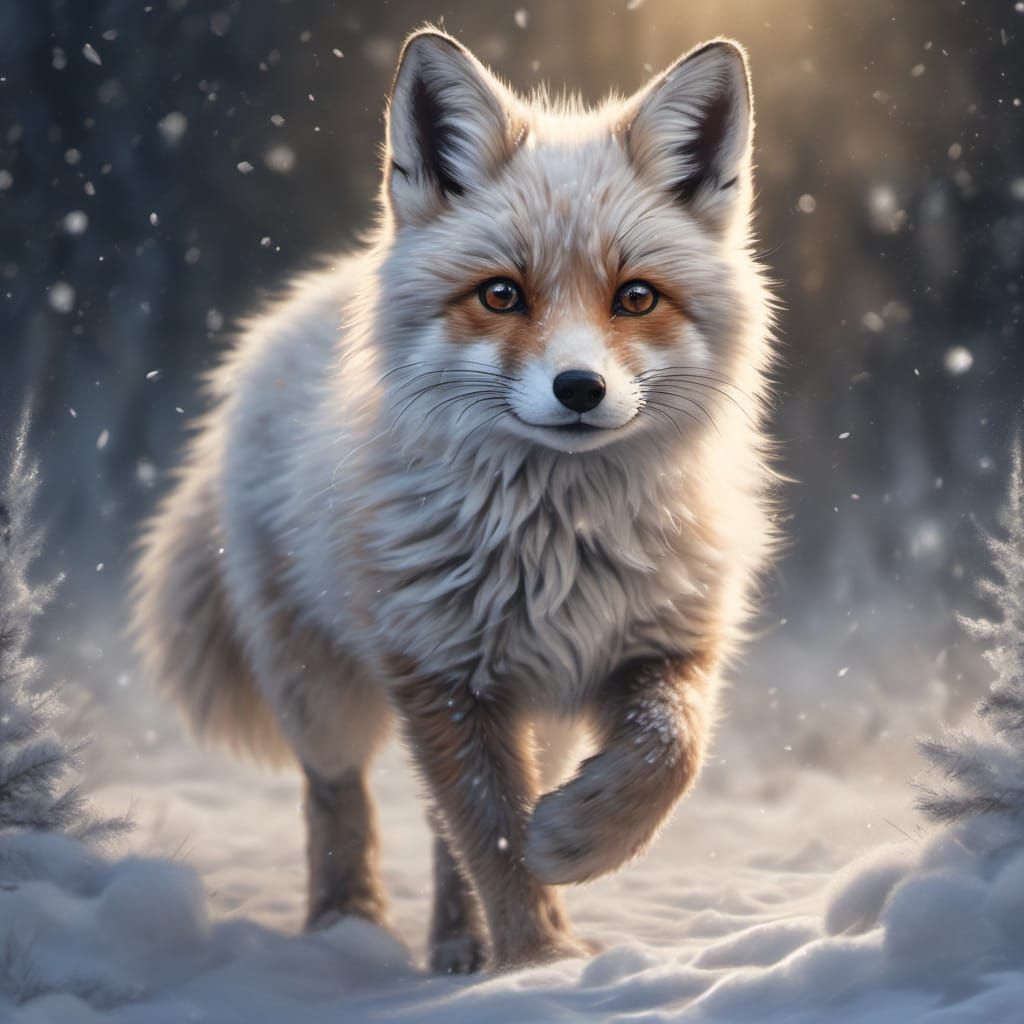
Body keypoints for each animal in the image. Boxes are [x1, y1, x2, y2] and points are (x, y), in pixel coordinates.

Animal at [132, 28, 776, 972]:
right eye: (501, 294)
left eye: (636, 297)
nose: (579, 389)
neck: (559, 545)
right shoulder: (440, 672)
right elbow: (496, 838)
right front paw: (538, 960)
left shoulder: (664, 644)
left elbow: (667, 757)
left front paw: (574, 846)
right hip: (322, 694)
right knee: (339, 794)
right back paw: (349, 924)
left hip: (535, 715)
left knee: (448, 827)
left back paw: (460, 943)